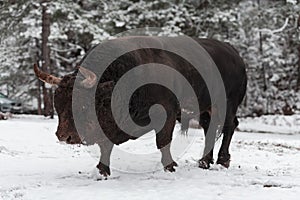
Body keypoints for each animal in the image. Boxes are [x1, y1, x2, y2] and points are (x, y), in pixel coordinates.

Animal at [34, 36, 247, 177]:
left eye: (83, 105)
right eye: (57, 105)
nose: (64, 136)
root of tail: (234, 53)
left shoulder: (167, 114)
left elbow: (163, 142)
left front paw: (170, 167)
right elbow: (106, 145)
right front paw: (103, 170)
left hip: (227, 104)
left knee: (229, 126)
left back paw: (222, 160)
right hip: (207, 108)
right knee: (209, 128)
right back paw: (204, 161)